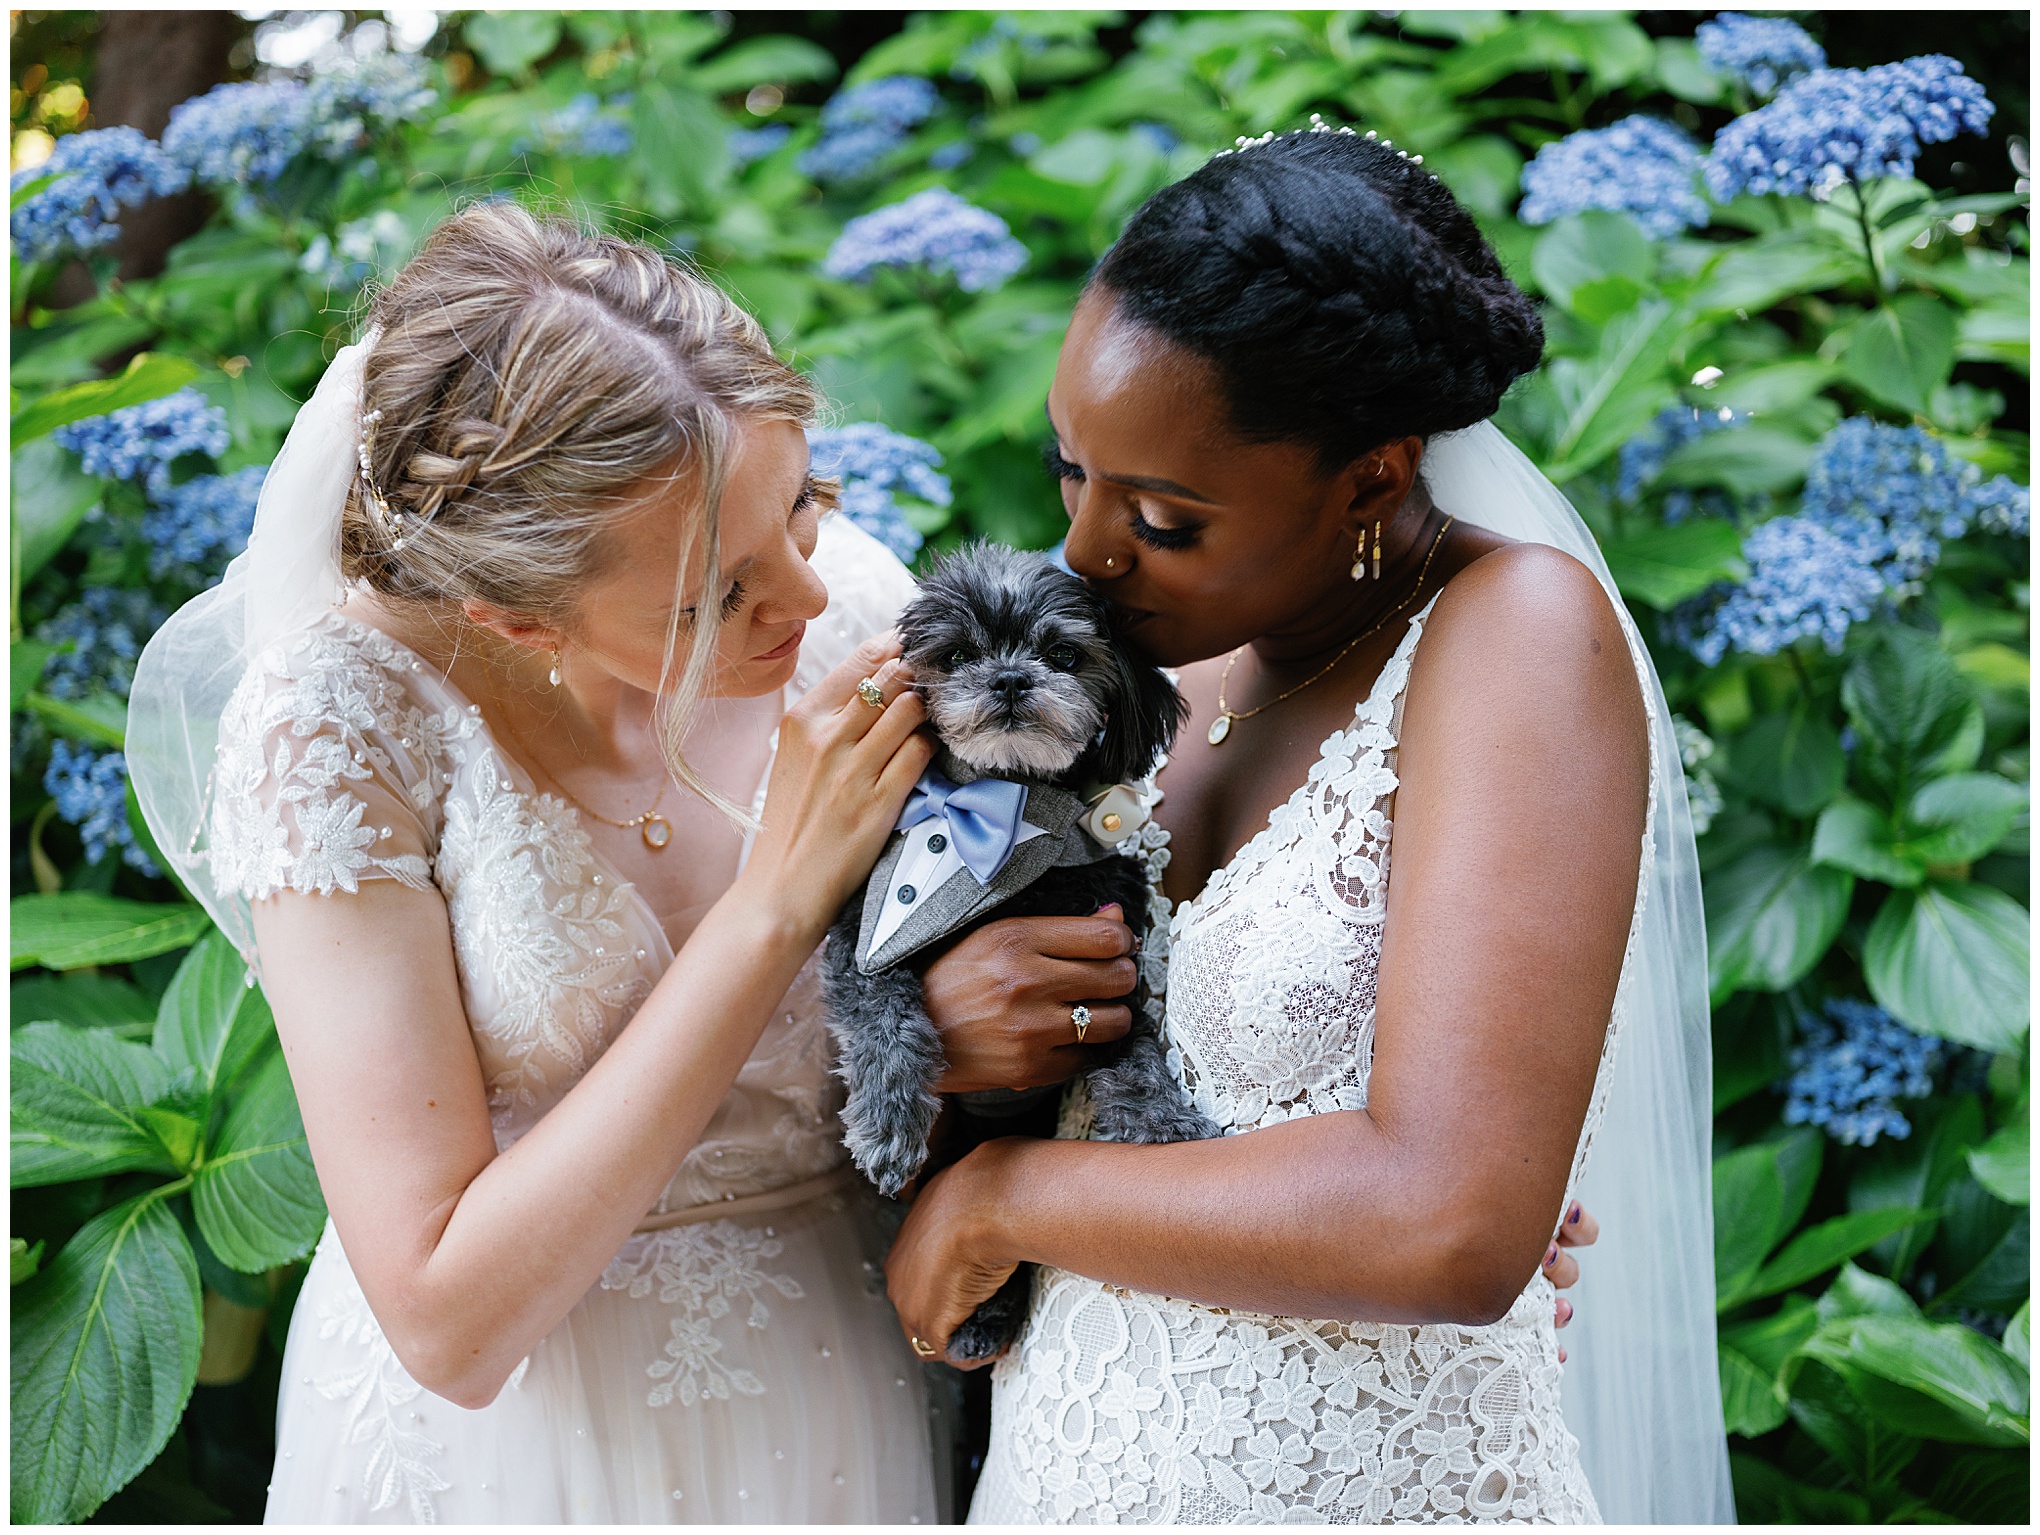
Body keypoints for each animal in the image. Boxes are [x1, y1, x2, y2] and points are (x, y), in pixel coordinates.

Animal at [820, 538, 1215, 1355]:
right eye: (958, 654)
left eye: (1063, 653)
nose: (1008, 678)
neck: (1006, 807)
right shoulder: (859, 941)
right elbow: (885, 1021)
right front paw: (888, 1125)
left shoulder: (1109, 952)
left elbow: (1135, 1046)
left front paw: (1159, 1120)